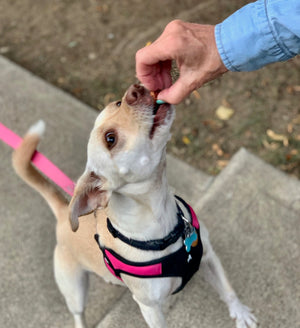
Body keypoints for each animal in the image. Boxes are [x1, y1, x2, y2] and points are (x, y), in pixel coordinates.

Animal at [12, 83, 258, 326]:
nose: (136, 89)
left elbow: (228, 290)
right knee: (78, 313)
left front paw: (240, 313)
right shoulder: (150, 308)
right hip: (75, 290)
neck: (161, 220)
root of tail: (64, 210)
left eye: (117, 103)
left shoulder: (209, 257)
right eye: (110, 139)